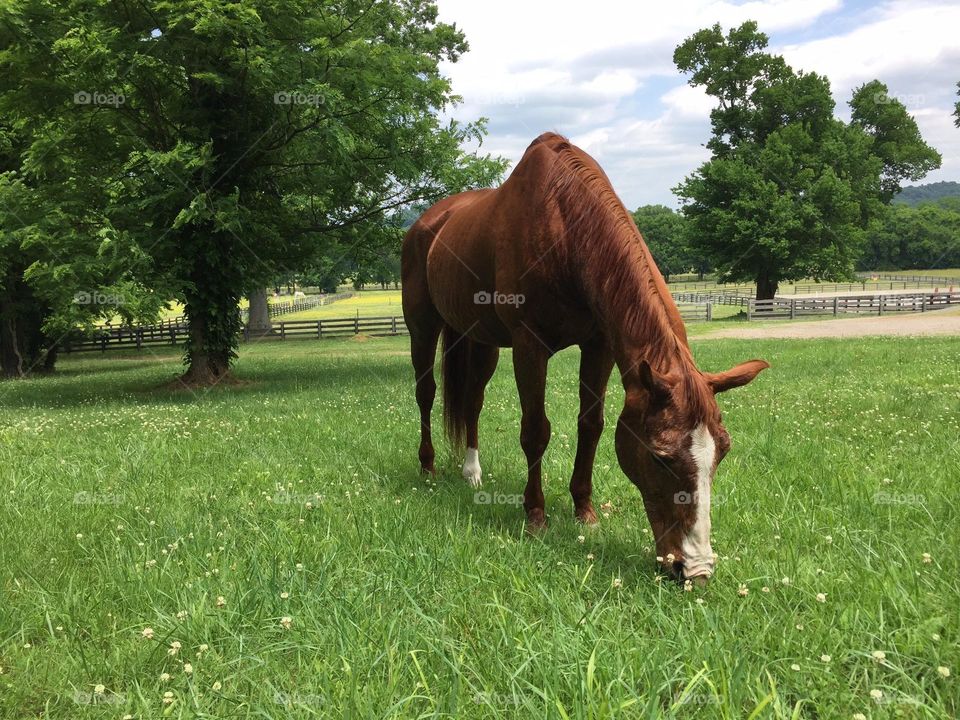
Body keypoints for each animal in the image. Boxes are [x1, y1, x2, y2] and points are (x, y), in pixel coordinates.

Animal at [402, 132, 768, 584]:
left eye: (723, 451)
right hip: (423, 327)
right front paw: (536, 515)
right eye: (659, 457)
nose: (694, 568)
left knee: (472, 401)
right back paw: (429, 468)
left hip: (480, 340)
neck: (564, 227)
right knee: (425, 393)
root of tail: (426, 223)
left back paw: (472, 473)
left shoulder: (599, 347)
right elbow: (535, 430)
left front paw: (585, 512)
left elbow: (590, 426)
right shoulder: (529, 346)